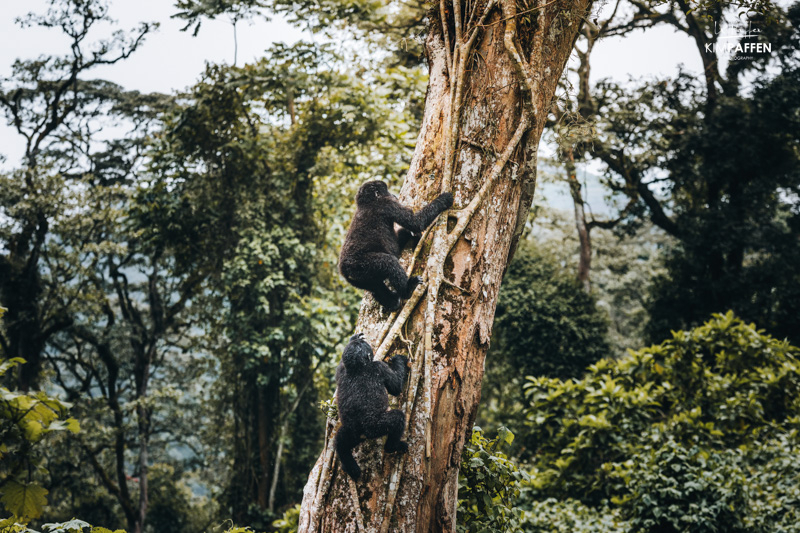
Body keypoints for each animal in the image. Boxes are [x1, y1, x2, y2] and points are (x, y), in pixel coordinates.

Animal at [334, 333, 409, 481]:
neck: (356, 368)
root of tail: (362, 433)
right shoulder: (379, 367)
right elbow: (396, 387)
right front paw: (399, 360)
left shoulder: (341, 370)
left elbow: (341, 362)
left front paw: (353, 338)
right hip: (376, 427)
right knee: (397, 419)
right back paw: (394, 446)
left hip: (351, 433)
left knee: (340, 443)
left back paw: (351, 467)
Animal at [339, 180, 454, 311]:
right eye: (388, 191)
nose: (394, 194)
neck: (367, 203)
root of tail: (344, 270)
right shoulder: (387, 204)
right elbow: (415, 222)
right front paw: (444, 200)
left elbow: (407, 232)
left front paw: (416, 237)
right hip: (358, 265)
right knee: (389, 263)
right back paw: (407, 290)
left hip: (358, 278)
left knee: (375, 286)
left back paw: (391, 302)